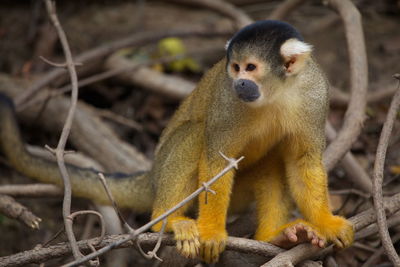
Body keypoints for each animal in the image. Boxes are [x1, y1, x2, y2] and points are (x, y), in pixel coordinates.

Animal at [0, 20, 354, 264]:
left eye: (252, 68)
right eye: (236, 67)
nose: (240, 82)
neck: (276, 92)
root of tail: (151, 176)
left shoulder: (314, 93)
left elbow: (303, 160)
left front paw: (325, 223)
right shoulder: (228, 100)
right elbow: (216, 159)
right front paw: (211, 232)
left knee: (272, 159)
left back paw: (277, 238)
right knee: (195, 134)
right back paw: (168, 222)